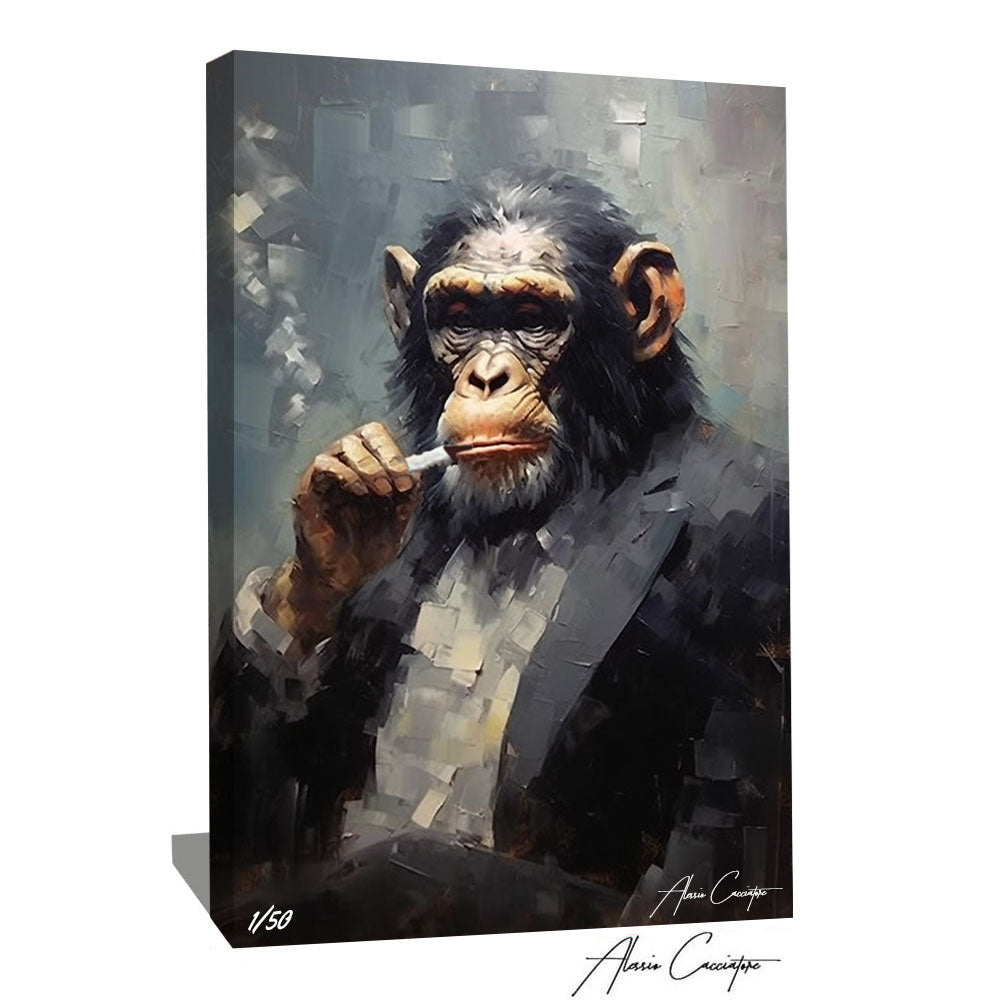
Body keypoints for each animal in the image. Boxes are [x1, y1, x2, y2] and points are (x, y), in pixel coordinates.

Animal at [210, 165, 790, 945]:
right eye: (459, 317)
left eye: (531, 318)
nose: (486, 378)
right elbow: (263, 812)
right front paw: (343, 506)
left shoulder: (763, 553)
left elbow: (717, 828)